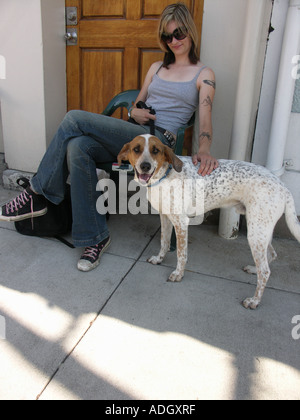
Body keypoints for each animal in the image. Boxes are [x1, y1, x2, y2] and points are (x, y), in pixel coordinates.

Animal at [118, 135, 300, 308]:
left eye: (155, 150)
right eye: (136, 149)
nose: (145, 166)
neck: (164, 176)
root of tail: (283, 186)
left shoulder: (181, 223)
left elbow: (181, 254)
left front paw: (178, 274)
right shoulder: (165, 217)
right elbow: (164, 242)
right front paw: (159, 259)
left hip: (256, 233)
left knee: (266, 270)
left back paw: (254, 300)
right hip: (261, 230)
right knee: (271, 256)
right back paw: (254, 270)